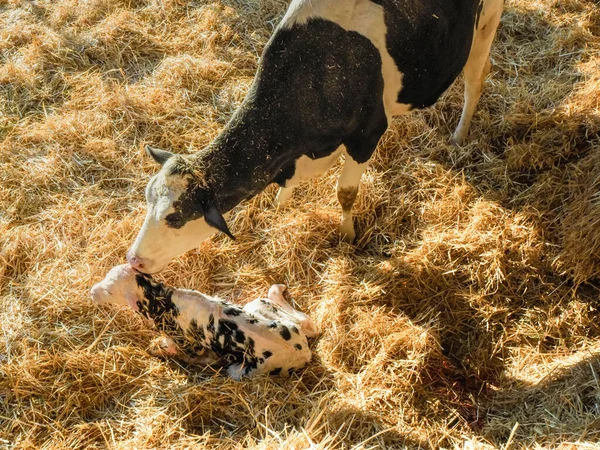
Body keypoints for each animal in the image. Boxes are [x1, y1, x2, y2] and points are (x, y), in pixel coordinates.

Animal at [90, 264, 318, 380]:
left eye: (110, 291)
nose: (92, 292)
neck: (164, 301)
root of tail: (303, 351)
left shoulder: (184, 343)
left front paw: (156, 351)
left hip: (243, 370)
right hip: (259, 306)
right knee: (308, 323)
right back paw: (277, 289)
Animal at [127, 0, 506, 274]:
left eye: (174, 218)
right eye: (146, 200)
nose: (133, 259)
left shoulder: (367, 133)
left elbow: (346, 192)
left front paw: (348, 236)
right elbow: (293, 183)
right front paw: (279, 207)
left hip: (485, 23)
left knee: (476, 76)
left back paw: (459, 136)